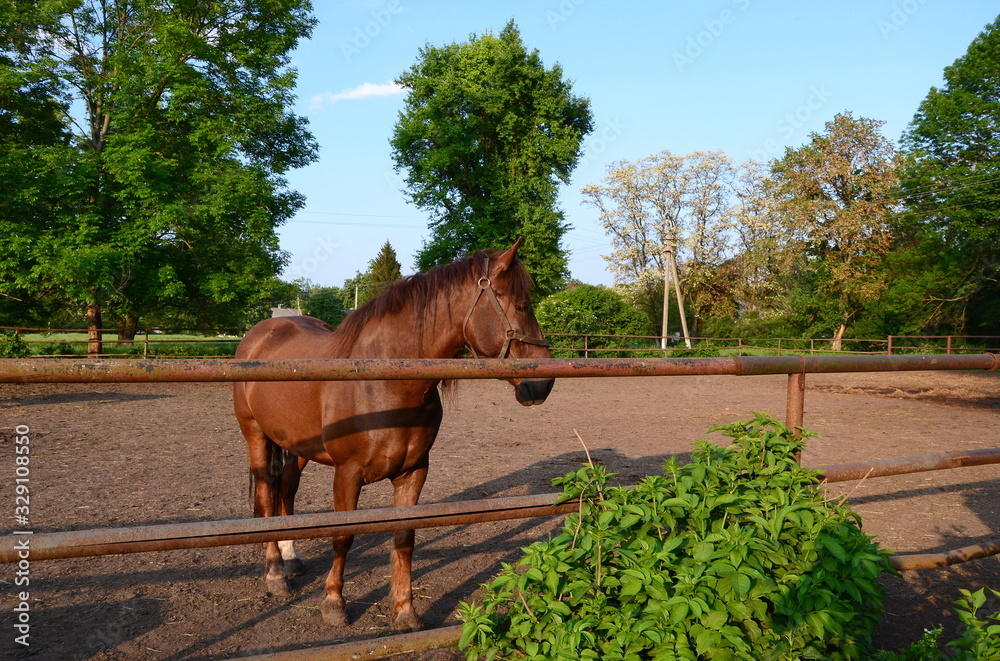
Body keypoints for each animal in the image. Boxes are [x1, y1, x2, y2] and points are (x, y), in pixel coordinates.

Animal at [233, 240, 556, 632]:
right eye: (522, 305)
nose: (543, 383)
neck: (385, 381)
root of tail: (262, 332)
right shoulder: (347, 473)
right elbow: (343, 536)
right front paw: (333, 604)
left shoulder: (413, 472)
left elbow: (405, 538)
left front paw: (405, 611)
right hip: (256, 435)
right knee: (267, 496)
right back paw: (276, 574)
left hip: (296, 445)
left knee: (287, 491)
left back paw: (291, 557)